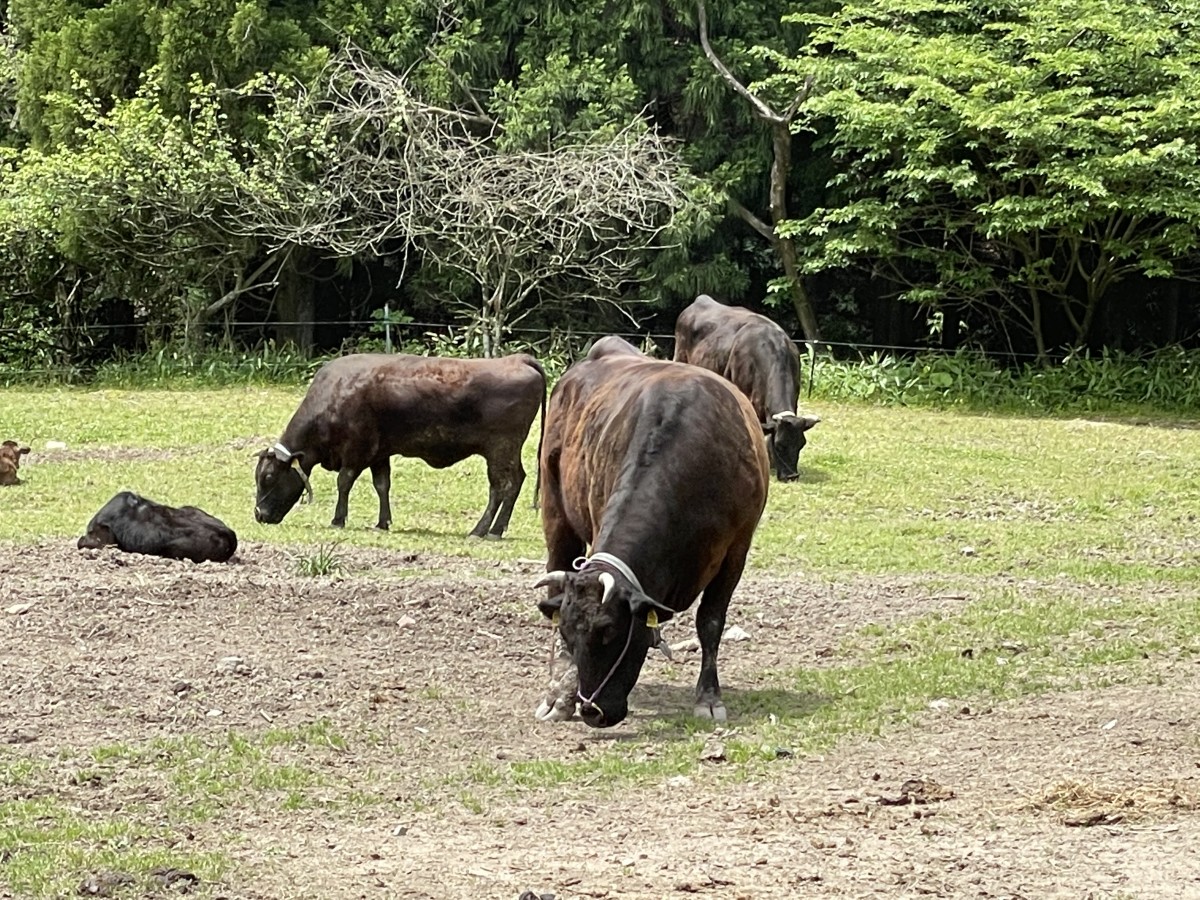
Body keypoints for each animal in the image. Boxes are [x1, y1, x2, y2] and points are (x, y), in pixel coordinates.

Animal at [260, 350, 549, 535]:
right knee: (515, 482)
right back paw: (494, 528)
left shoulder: (356, 451)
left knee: (502, 486)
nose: (258, 514)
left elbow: (344, 482)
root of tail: (517, 359)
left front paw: (338, 519)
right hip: (506, 452)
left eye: (269, 477)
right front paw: (382, 522)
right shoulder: (379, 453)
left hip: (500, 450)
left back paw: (483, 530)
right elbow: (382, 485)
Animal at [535, 336, 768, 729]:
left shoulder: (737, 549)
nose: (592, 712)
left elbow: (710, 622)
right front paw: (563, 693)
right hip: (556, 512)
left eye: (609, 630)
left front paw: (709, 697)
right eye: (566, 633)